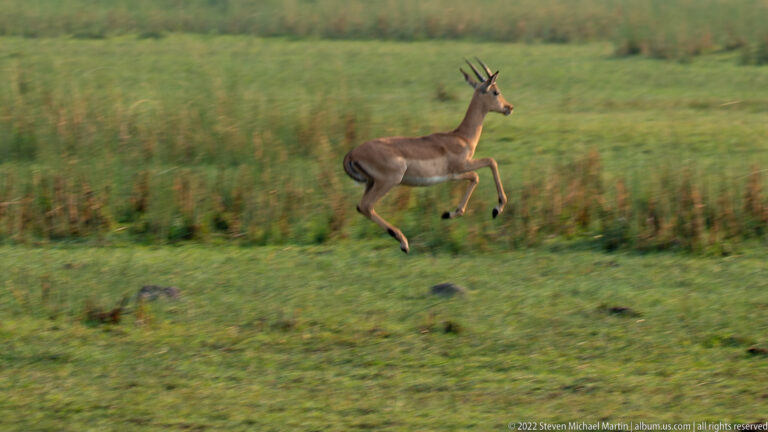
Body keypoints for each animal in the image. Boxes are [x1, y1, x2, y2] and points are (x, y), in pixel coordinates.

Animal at [342, 58, 514, 253]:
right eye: (496, 91)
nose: (509, 107)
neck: (461, 137)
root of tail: (352, 153)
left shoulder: (456, 173)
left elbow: (480, 172)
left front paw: (450, 213)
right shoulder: (459, 169)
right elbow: (487, 166)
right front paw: (494, 209)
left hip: (371, 183)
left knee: (361, 207)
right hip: (388, 181)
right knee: (366, 206)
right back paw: (403, 243)